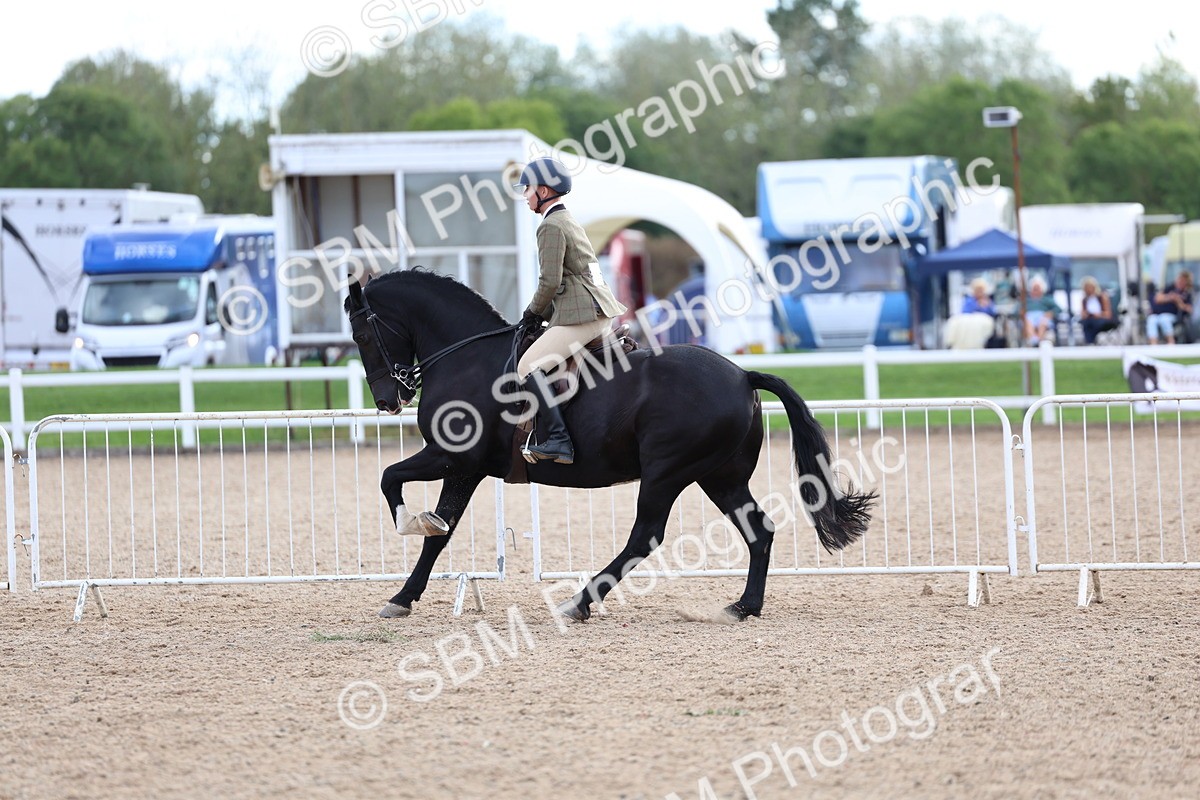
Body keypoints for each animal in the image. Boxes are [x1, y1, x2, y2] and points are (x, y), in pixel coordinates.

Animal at [345, 268, 875, 622]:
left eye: (362, 333)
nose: (387, 400)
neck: (467, 357)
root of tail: (743, 374)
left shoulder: (452, 457)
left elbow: (391, 481)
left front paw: (407, 534)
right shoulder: (463, 468)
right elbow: (441, 532)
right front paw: (404, 595)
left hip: (667, 472)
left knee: (645, 536)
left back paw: (577, 603)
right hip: (719, 476)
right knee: (758, 531)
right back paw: (743, 607)